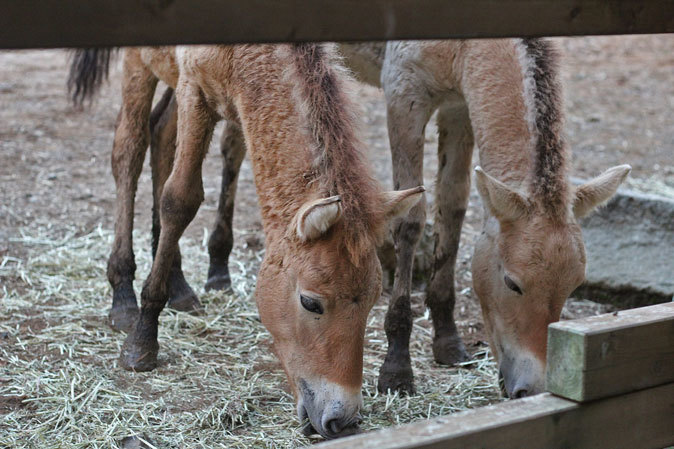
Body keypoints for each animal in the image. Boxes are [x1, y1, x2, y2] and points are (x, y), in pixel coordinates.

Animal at [68, 43, 420, 438]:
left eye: (374, 300)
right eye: (310, 303)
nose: (342, 420)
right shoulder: (194, 89)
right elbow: (180, 199)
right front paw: (143, 340)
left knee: (159, 137)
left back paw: (179, 285)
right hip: (138, 64)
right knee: (129, 149)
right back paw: (123, 296)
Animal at [144, 37, 628, 396]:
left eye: (573, 286)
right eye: (513, 282)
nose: (534, 386)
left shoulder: (458, 105)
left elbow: (453, 209)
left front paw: (448, 339)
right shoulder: (405, 94)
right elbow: (412, 220)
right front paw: (397, 367)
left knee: (181, 131)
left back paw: (195, 276)